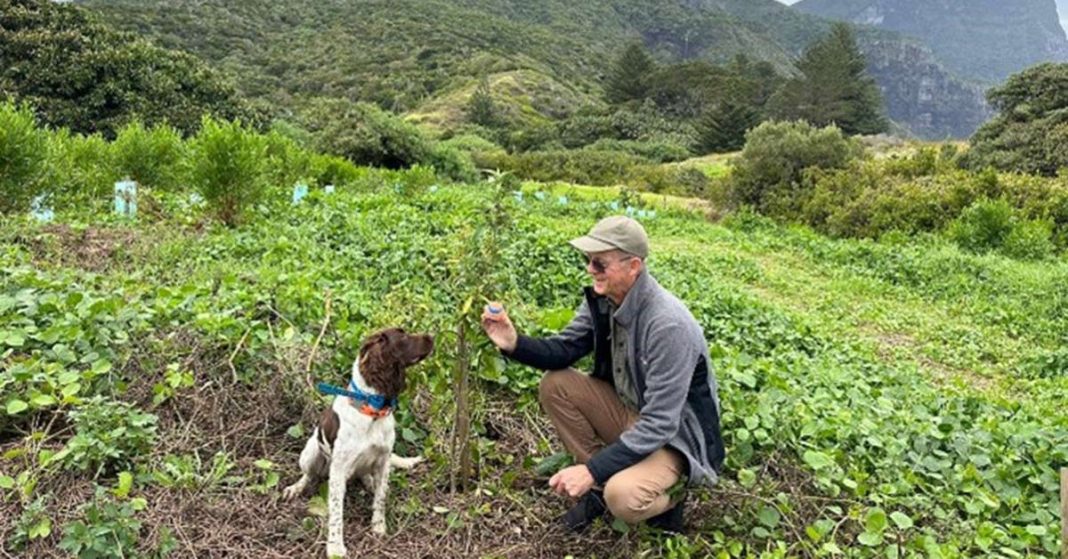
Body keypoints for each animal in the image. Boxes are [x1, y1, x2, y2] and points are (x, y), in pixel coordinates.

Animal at [284, 324, 437, 555]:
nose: (432, 336)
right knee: (308, 475)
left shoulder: (383, 460)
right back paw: (295, 488)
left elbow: (380, 499)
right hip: (310, 453)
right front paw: (335, 547)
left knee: (368, 478)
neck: (372, 413)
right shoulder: (338, 471)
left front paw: (379, 527)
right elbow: (336, 512)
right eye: (402, 336)